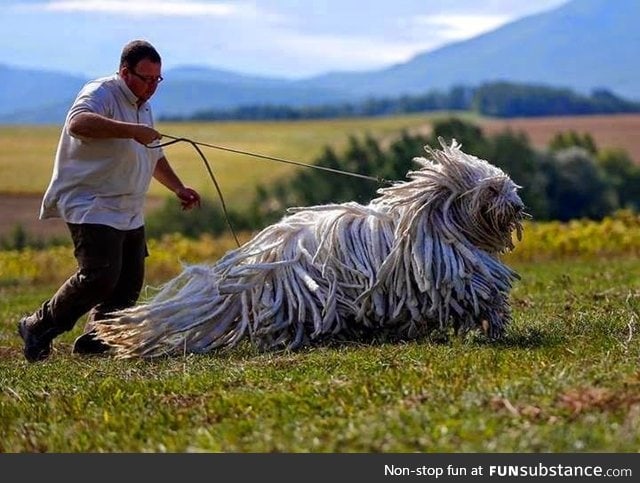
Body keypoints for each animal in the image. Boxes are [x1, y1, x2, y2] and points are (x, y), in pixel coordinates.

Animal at [94, 138, 524, 358]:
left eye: (506, 184)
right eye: (491, 189)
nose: (518, 206)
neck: (436, 219)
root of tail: (255, 261)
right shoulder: (451, 275)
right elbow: (480, 294)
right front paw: (494, 323)